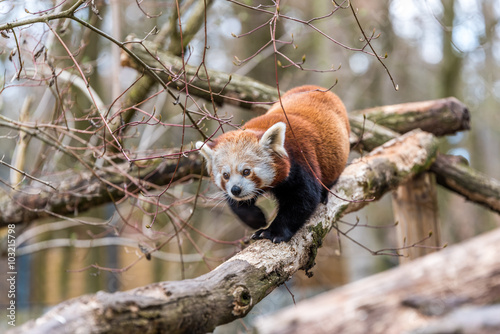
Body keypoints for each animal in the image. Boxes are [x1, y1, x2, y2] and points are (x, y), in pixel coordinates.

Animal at [196, 86, 352, 243]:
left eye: (246, 171)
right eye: (226, 175)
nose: (235, 189)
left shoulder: (301, 161)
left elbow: (303, 200)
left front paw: (273, 232)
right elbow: (235, 203)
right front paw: (256, 219)